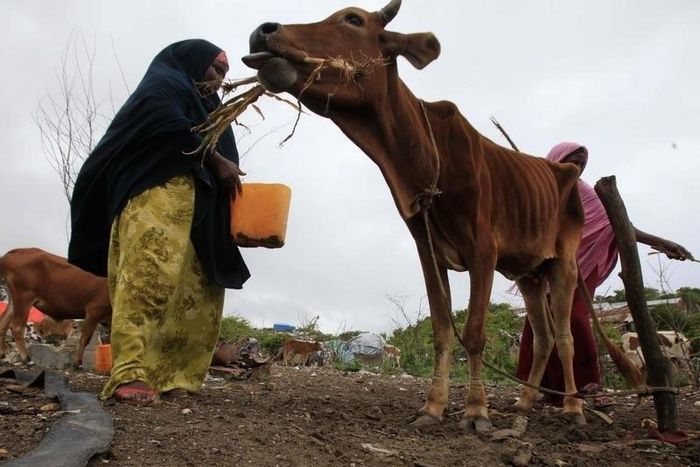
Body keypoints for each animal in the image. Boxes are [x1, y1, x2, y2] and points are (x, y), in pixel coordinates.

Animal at [243, 0, 586, 431]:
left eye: (353, 19)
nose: (262, 31)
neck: (424, 162)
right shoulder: (428, 250)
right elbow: (441, 330)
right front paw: (434, 406)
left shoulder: (484, 250)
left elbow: (474, 333)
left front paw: (476, 410)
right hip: (529, 273)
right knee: (542, 339)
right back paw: (524, 404)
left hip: (564, 264)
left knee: (565, 338)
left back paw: (574, 408)